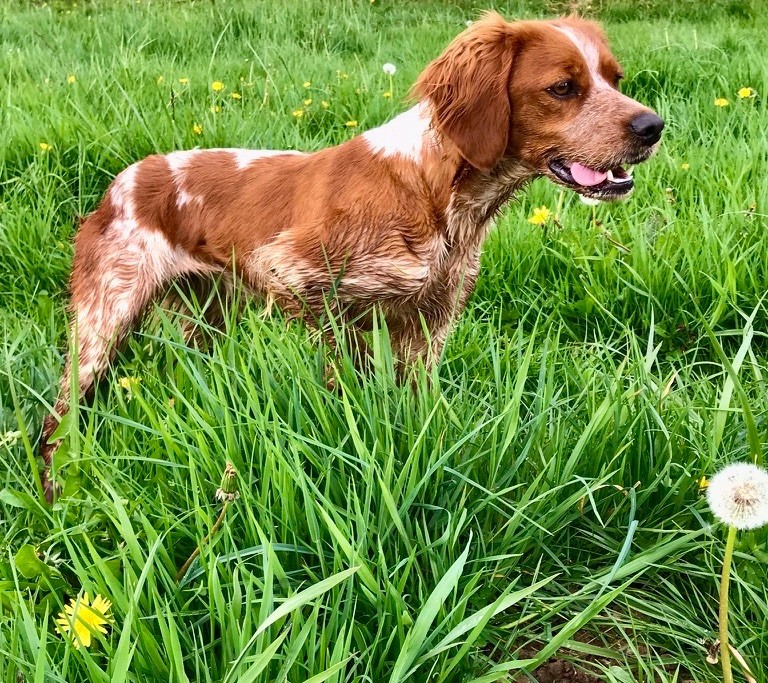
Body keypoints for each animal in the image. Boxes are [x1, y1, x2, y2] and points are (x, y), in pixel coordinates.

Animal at [39, 13, 664, 500]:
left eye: (614, 78)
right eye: (562, 87)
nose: (653, 126)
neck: (436, 192)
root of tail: (120, 182)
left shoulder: (430, 323)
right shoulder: (301, 279)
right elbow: (343, 385)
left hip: (208, 317)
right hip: (104, 320)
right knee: (55, 419)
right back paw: (56, 490)